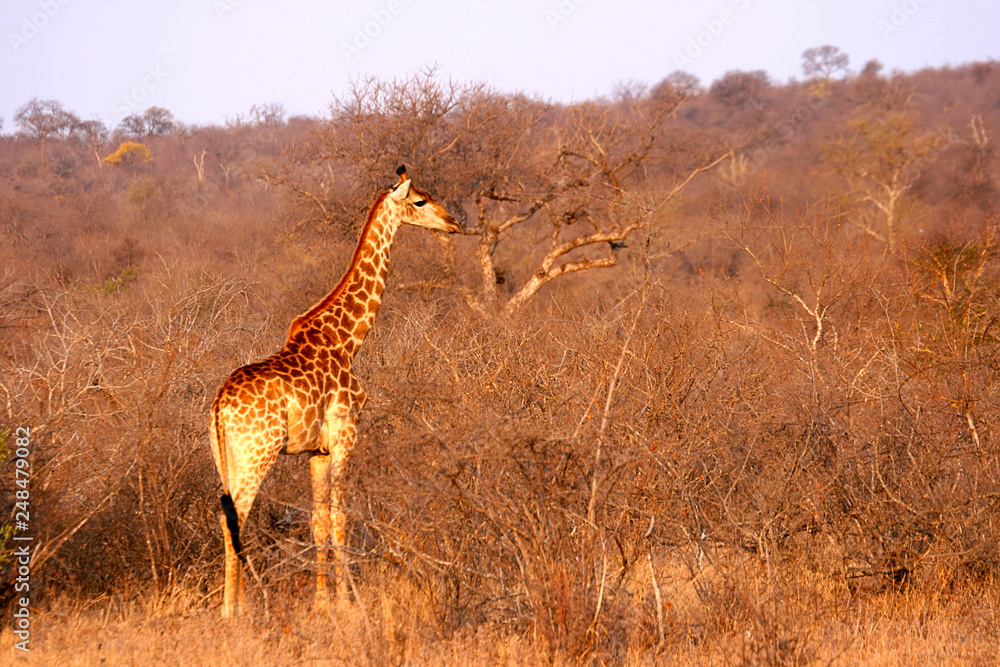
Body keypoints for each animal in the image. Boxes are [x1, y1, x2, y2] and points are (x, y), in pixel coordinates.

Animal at [209, 165, 459, 617]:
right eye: (420, 201)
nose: (453, 223)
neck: (348, 340)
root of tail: (219, 406)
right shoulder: (346, 435)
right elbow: (342, 519)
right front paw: (346, 602)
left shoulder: (317, 451)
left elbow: (318, 522)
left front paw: (321, 602)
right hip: (257, 454)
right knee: (236, 514)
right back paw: (234, 612)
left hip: (226, 457)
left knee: (226, 515)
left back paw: (234, 606)